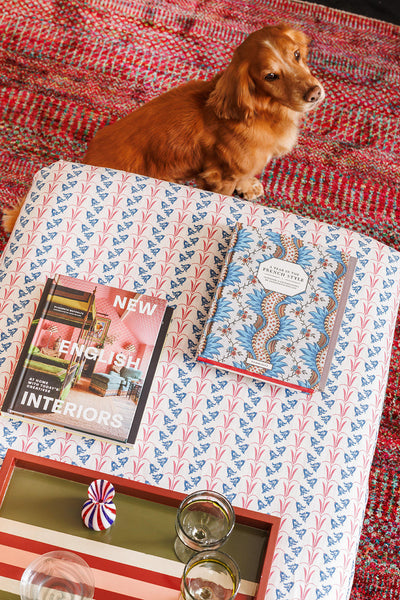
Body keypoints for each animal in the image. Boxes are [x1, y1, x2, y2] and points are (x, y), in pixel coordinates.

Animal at [2, 23, 324, 233]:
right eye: (270, 76)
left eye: (297, 54)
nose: (315, 93)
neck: (263, 110)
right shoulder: (219, 176)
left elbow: (246, 176)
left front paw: (250, 186)